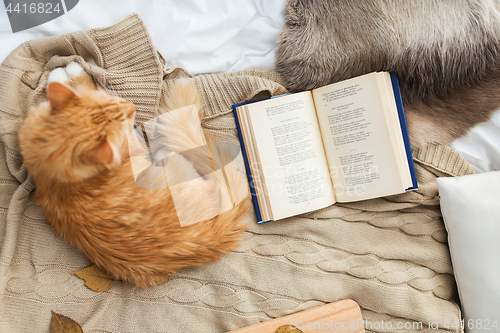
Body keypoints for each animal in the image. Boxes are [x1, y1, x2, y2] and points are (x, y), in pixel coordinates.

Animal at [18, 62, 249, 288]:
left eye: (113, 102)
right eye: (124, 116)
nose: (132, 106)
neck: (58, 180)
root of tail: (210, 237)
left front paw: (62, 76)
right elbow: (84, 83)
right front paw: (70, 72)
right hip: (177, 166)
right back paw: (162, 152)